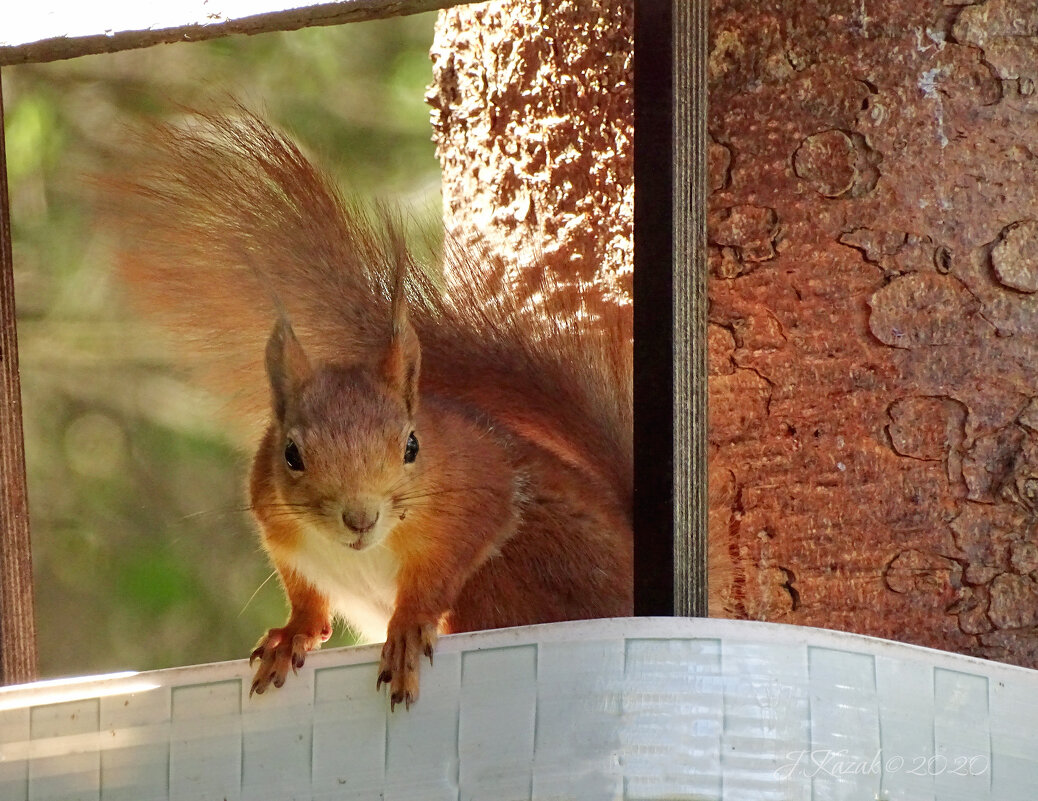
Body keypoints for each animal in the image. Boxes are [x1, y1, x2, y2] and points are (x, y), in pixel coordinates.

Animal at [101, 111, 631, 705]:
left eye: (411, 445)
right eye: (291, 454)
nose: (360, 518)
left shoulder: (475, 502)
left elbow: (436, 577)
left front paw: (408, 627)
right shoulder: (282, 533)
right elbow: (306, 596)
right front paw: (294, 633)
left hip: (520, 571)